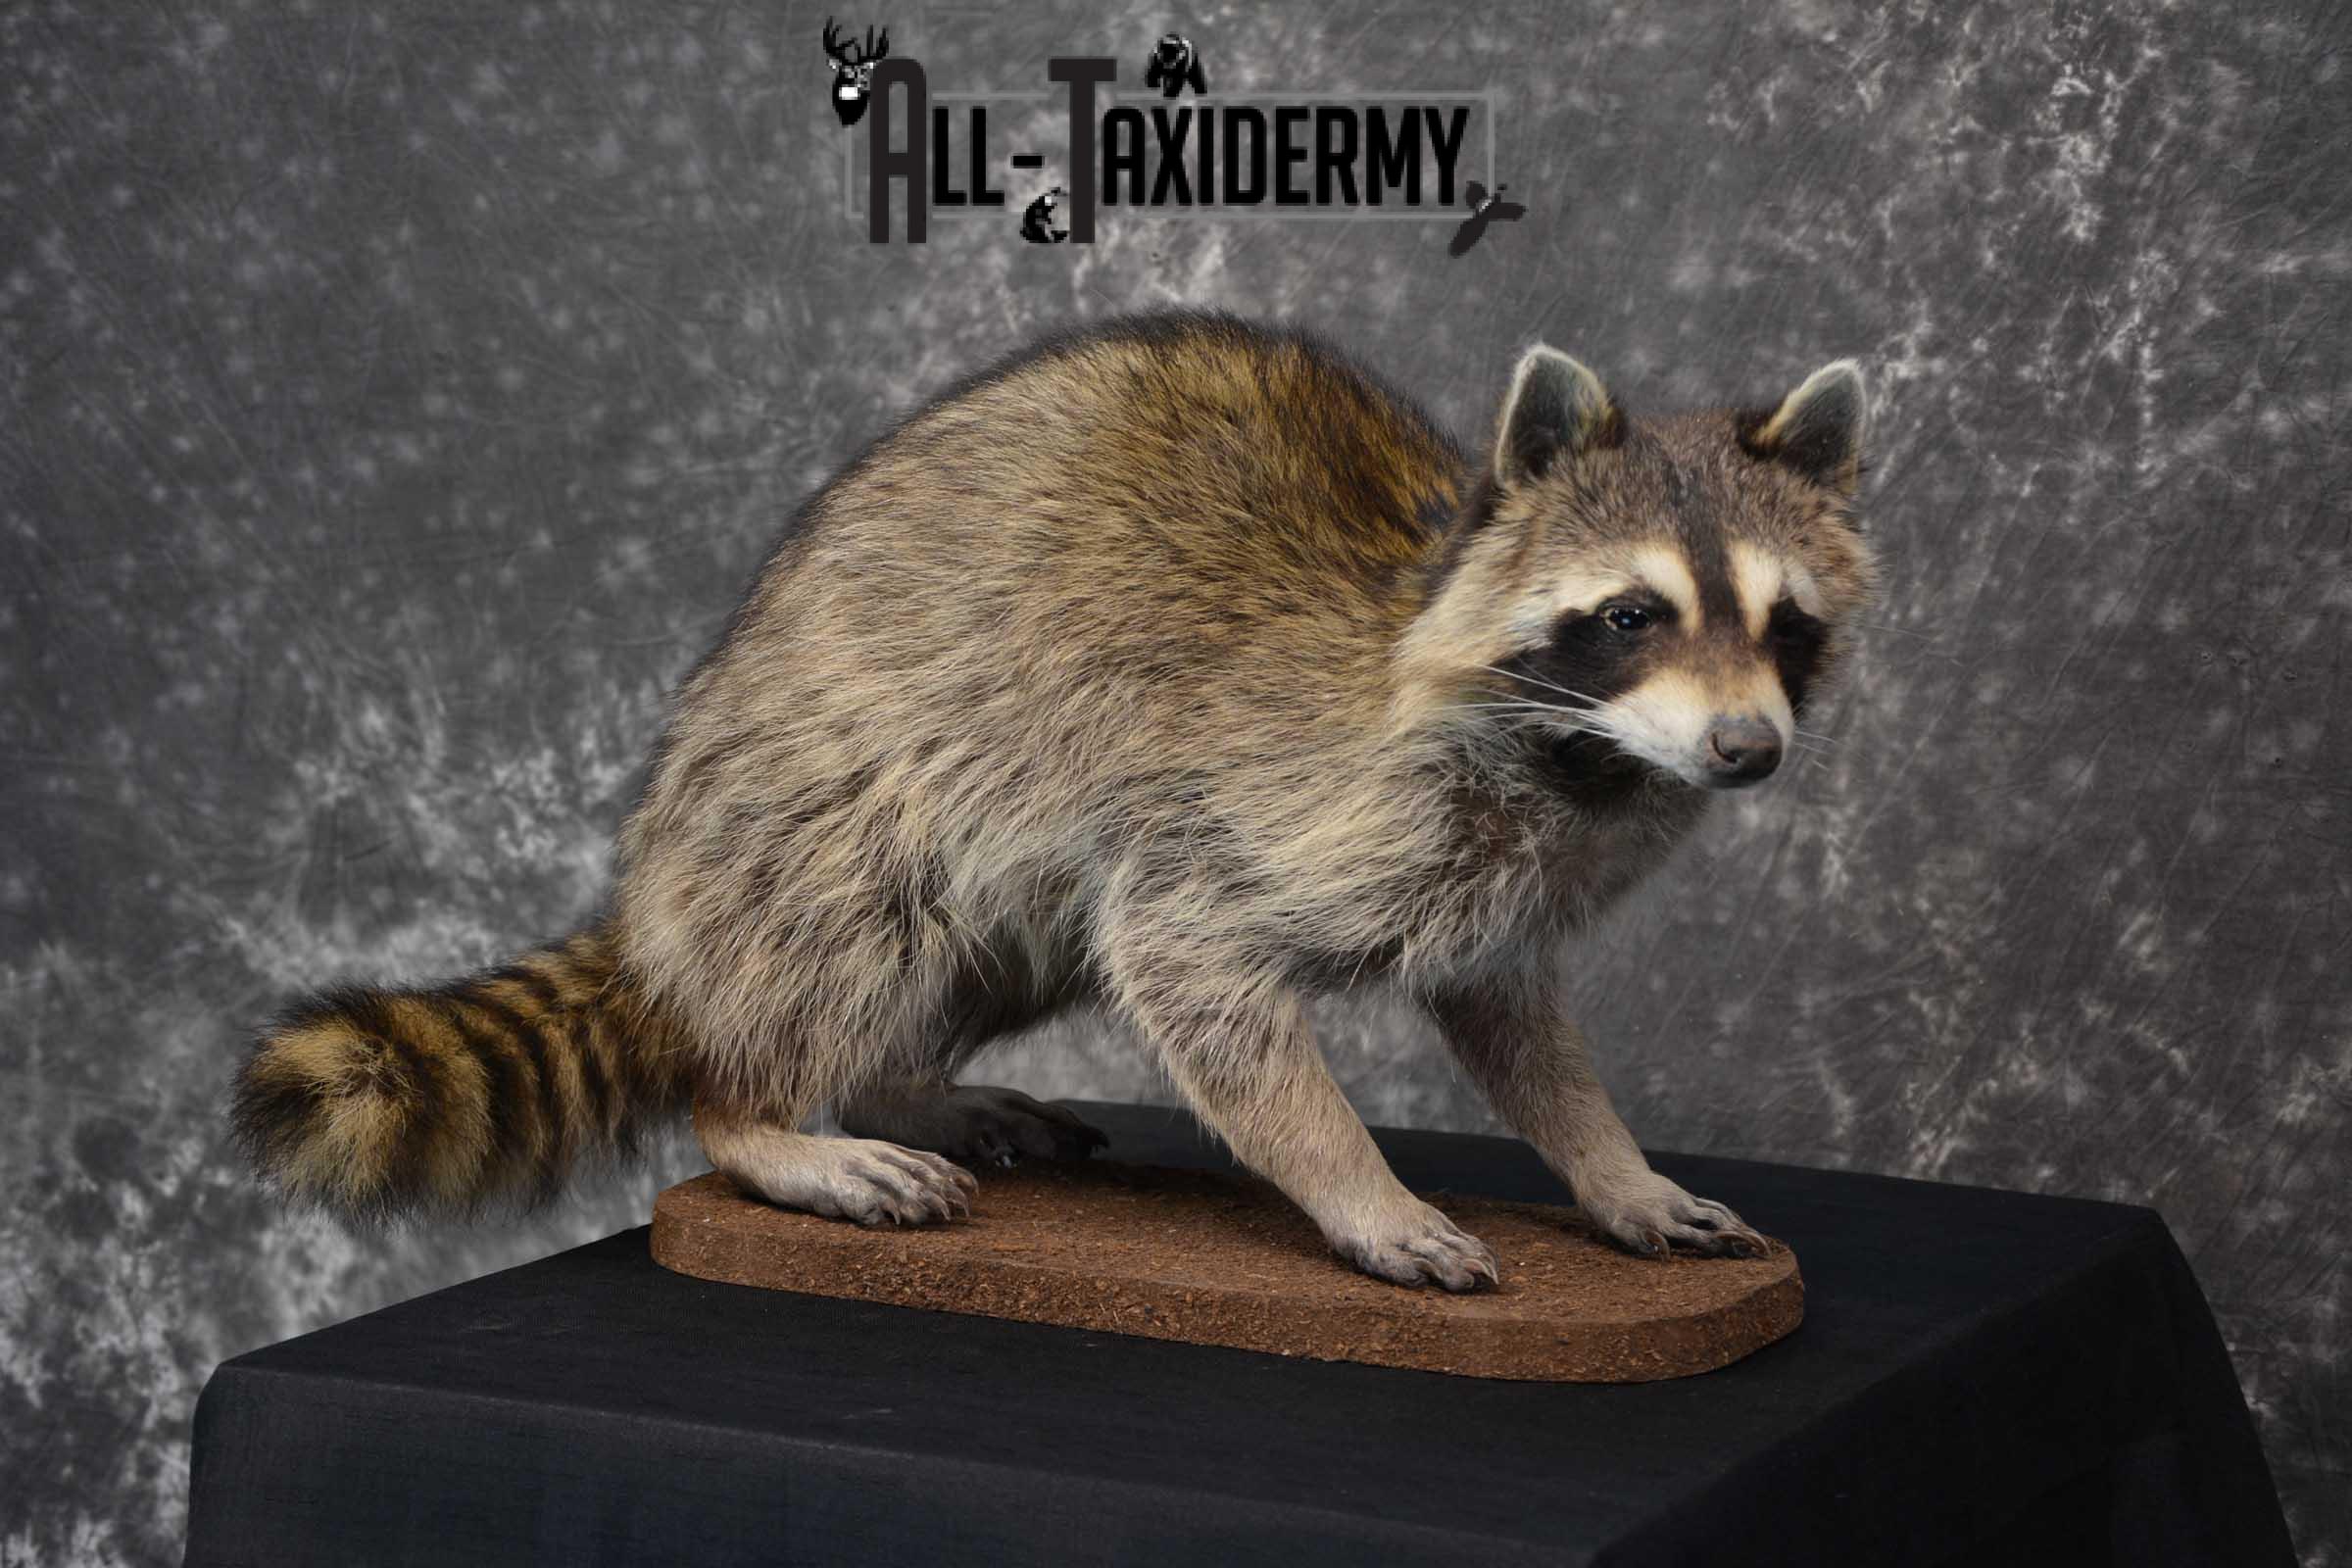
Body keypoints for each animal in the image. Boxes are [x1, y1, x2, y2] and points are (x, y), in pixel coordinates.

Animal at [233, 311, 1876, 1291]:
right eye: (1632, 616)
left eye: (1783, 623)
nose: (1748, 751)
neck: (1584, 758)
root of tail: (660, 886)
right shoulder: (1281, 797)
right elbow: (1190, 964)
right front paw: (1358, 1185)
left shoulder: (1505, 876)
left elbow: (1514, 1024)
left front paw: (1610, 1167)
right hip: (816, 798)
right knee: (859, 931)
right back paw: (767, 1114)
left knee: (1007, 942)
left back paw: (896, 1081)